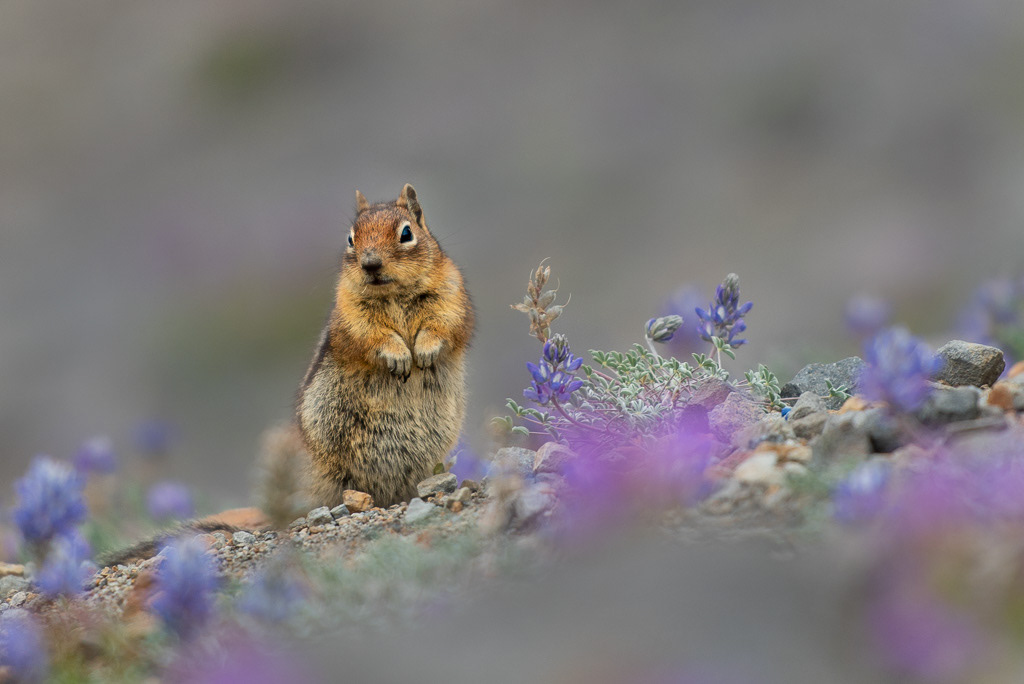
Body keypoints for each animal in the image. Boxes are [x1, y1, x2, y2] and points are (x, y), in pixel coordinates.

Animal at [296, 184, 474, 508]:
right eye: (350, 239)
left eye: (406, 233)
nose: (370, 264)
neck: (393, 293)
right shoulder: (352, 315)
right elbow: (373, 336)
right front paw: (400, 357)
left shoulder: (451, 296)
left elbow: (442, 325)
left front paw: (425, 351)